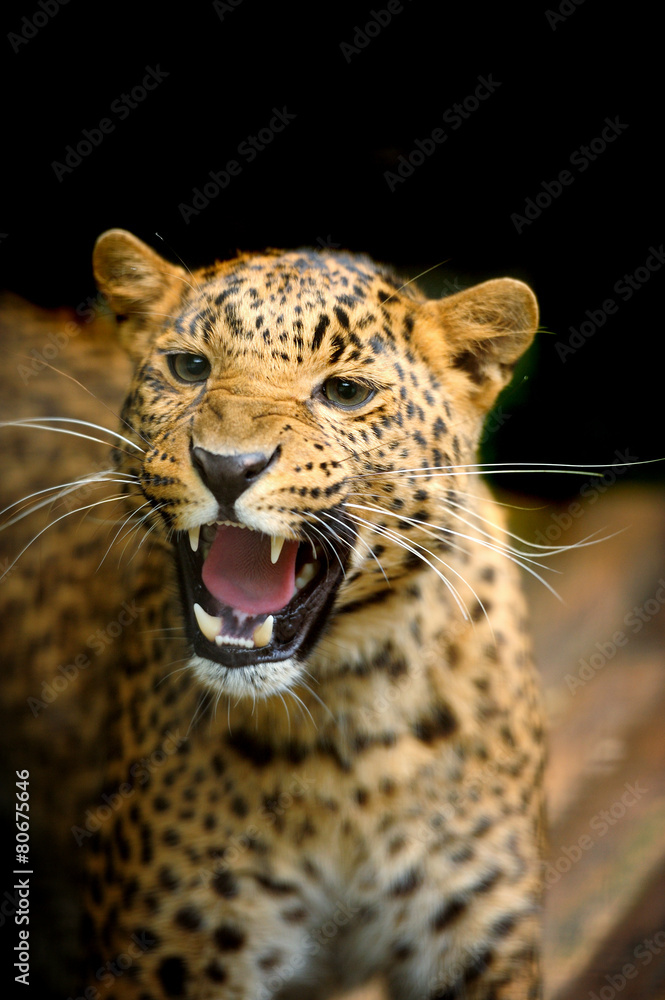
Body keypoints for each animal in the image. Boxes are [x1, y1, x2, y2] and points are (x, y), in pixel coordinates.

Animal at [0, 230, 545, 1000]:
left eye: (345, 392)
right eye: (189, 368)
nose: (227, 467)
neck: (342, 740)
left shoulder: (481, 934)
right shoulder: (168, 955)